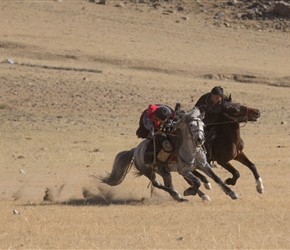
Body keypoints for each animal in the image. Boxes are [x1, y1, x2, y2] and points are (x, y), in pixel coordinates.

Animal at [100, 107, 238, 201]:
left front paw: (231, 193)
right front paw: (189, 192)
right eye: (191, 125)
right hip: (150, 171)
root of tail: (135, 150)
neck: (192, 151)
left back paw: (196, 195)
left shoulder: (204, 165)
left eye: (203, 125)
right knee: (159, 184)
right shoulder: (183, 170)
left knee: (167, 184)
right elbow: (197, 181)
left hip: (163, 171)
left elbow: (216, 178)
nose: (200, 140)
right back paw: (178, 196)